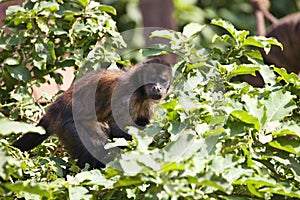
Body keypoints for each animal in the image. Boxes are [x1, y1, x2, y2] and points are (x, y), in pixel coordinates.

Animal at [12, 58, 172, 169]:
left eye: (163, 80)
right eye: (152, 79)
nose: (157, 87)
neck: (141, 92)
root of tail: (53, 112)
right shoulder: (128, 93)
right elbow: (117, 129)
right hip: (69, 129)